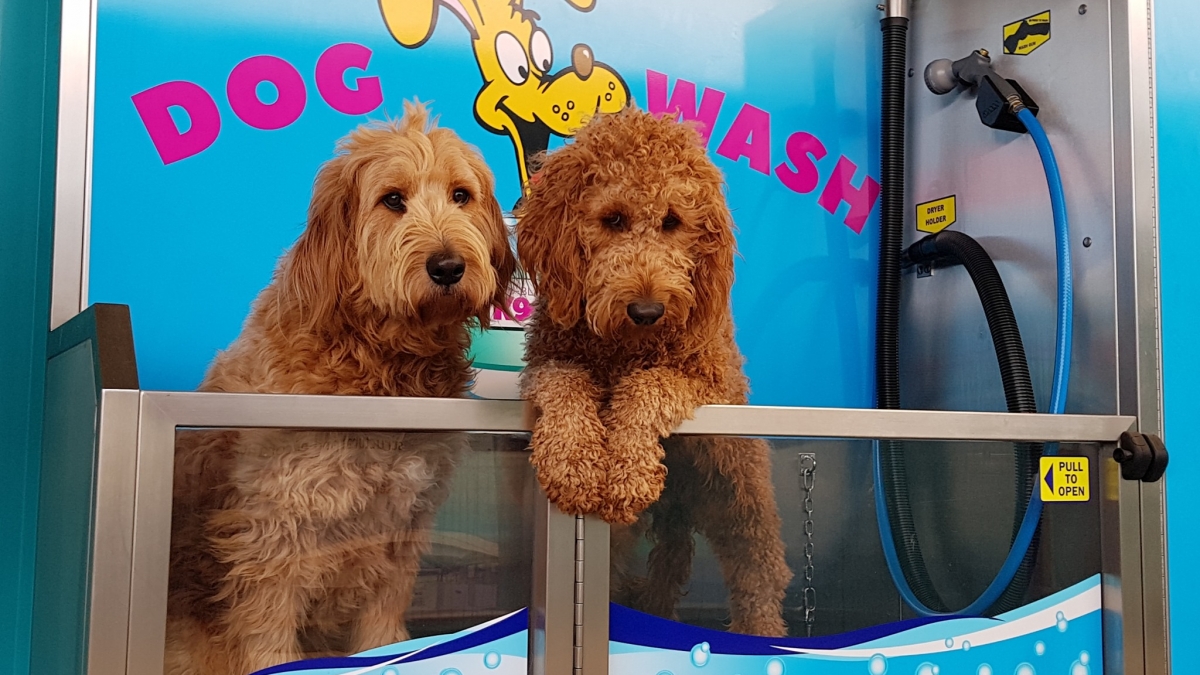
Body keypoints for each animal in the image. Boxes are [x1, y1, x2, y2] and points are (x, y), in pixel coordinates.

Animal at [163, 100, 511, 672]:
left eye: (461, 195)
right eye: (392, 199)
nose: (448, 266)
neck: (381, 368)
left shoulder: (401, 530)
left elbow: (382, 635)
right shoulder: (276, 536)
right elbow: (268, 639)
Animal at [518, 107, 792, 634]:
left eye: (673, 221)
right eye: (613, 219)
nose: (647, 310)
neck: (624, 348)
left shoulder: (709, 382)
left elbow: (649, 384)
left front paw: (627, 469)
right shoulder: (546, 362)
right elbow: (566, 385)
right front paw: (574, 463)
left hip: (738, 492)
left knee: (759, 573)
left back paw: (761, 636)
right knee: (670, 560)